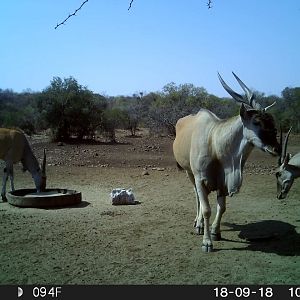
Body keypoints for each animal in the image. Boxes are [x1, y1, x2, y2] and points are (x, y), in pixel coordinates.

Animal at [173, 72, 282, 251]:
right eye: (256, 122)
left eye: (272, 121)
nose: (277, 149)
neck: (214, 141)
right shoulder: (201, 179)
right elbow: (207, 209)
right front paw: (207, 242)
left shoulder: (223, 183)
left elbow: (222, 207)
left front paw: (215, 232)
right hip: (189, 173)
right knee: (196, 195)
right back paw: (198, 224)